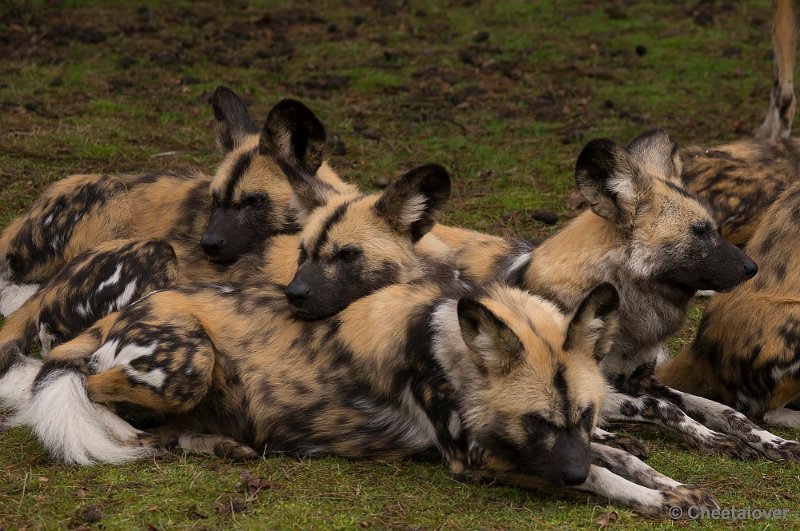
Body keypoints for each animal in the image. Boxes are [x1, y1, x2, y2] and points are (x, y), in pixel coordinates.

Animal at [9, 165, 716, 516]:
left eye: (583, 415)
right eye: (536, 422)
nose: (563, 474)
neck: (453, 350)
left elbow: (617, 454)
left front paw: (671, 483)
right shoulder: (480, 459)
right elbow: (604, 474)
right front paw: (650, 498)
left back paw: (222, 444)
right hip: (185, 360)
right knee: (90, 392)